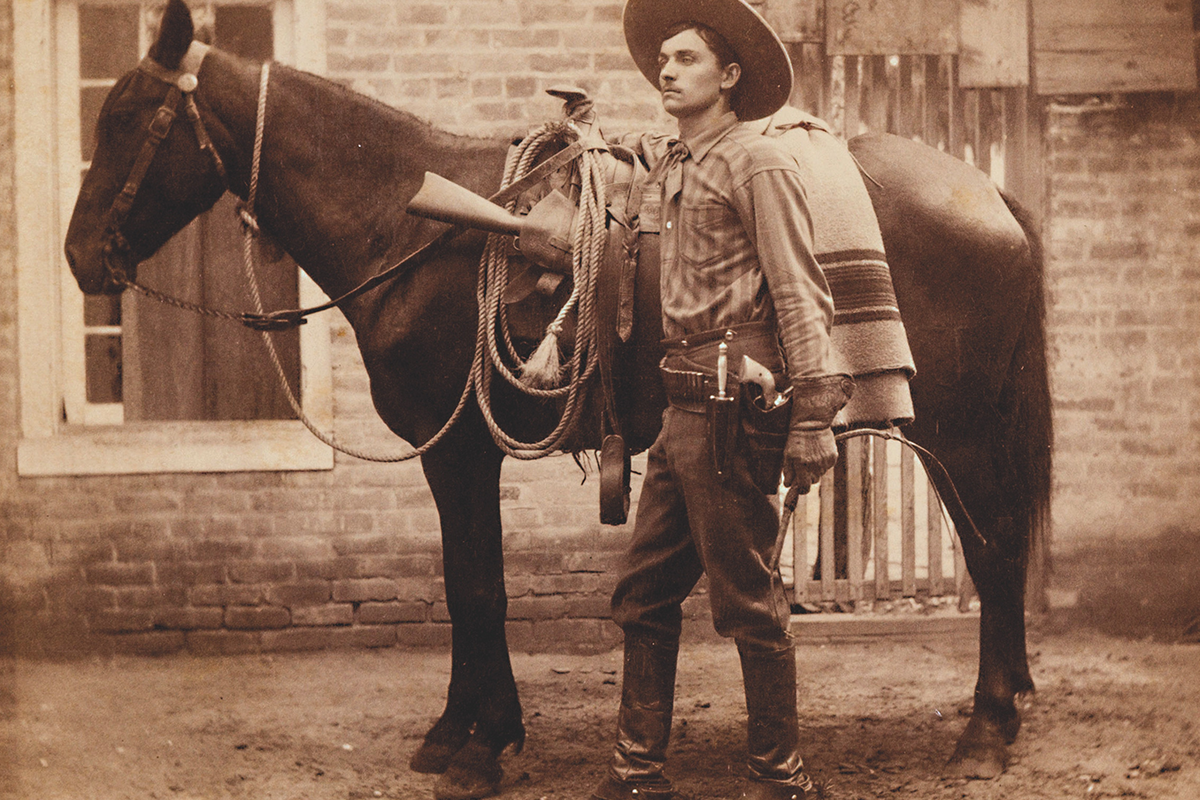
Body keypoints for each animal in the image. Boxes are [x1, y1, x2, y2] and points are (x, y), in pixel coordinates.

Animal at [63, 3, 1051, 796]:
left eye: (131, 118)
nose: (78, 256)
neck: (408, 228)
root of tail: (988, 190)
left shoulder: (459, 449)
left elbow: (477, 586)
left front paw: (479, 744)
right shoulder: (454, 454)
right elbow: (465, 582)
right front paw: (459, 730)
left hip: (961, 434)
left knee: (996, 551)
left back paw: (987, 727)